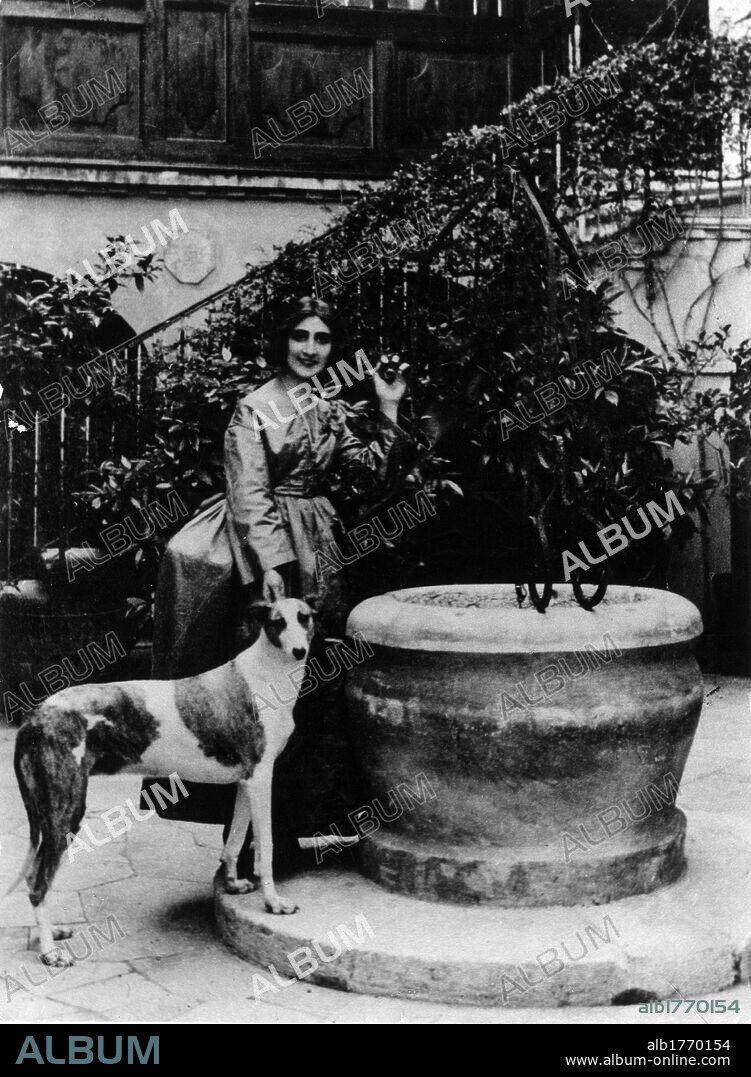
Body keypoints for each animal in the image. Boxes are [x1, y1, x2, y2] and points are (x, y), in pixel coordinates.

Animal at [12, 598, 316, 969]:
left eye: (305, 618)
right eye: (277, 622)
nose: (300, 651)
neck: (267, 671)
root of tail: (34, 717)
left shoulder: (246, 782)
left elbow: (234, 841)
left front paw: (231, 883)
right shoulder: (261, 779)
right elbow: (266, 849)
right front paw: (273, 903)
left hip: (49, 816)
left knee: (33, 877)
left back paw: (51, 933)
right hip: (65, 812)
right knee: (38, 884)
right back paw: (49, 952)